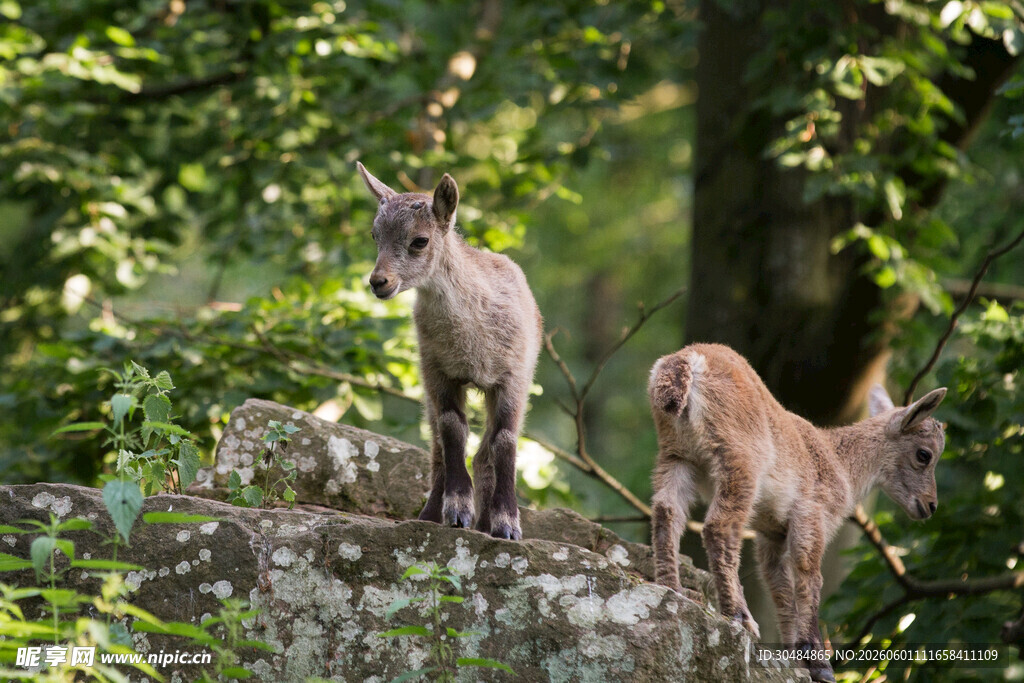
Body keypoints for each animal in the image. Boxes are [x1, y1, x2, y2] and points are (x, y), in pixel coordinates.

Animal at [356, 162, 542, 540]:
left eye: (419, 240)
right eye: (374, 235)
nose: (379, 282)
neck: (472, 339)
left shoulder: (512, 377)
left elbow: (505, 441)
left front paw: (507, 524)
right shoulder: (438, 371)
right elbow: (452, 429)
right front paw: (456, 510)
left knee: (485, 451)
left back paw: (486, 522)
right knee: (437, 446)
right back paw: (431, 513)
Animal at [648, 343, 946, 683]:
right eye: (924, 455)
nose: (930, 505)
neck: (841, 463)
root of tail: (686, 360)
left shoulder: (772, 532)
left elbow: (778, 585)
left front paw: (793, 655)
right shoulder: (812, 513)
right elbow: (808, 575)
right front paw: (819, 664)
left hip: (677, 455)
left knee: (667, 512)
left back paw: (673, 588)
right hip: (739, 459)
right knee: (718, 528)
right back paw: (739, 616)